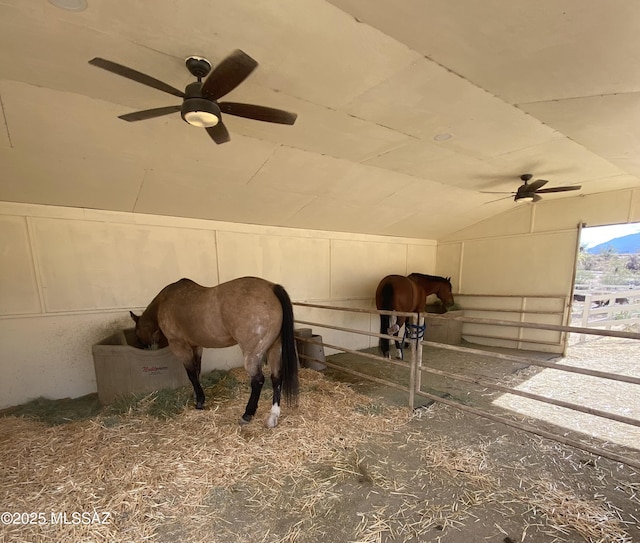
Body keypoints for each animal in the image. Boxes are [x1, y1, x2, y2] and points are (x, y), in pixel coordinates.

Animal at [132, 278, 300, 428]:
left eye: (137, 334)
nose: (144, 346)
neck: (164, 302)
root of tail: (271, 287)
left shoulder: (179, 346)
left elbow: (191, 374)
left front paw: (199, 401)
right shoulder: (197, 346)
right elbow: (197, 371)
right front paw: (197, 396)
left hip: (252, 354)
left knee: (258, 380)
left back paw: (247, 414)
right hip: (274, 348)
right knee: (276, 378)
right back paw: (273, 416)